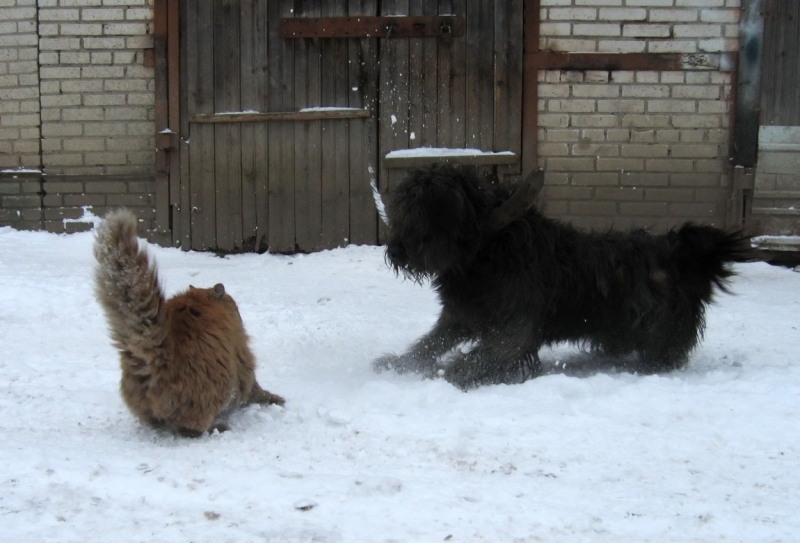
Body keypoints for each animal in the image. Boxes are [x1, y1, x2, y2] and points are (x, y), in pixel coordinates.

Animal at [372, 164, 752, 388]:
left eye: (428, 211)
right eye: (404, 206)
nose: (397, 251)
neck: (486, 252)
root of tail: (680, 251)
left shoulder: (515, 327)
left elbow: (484, 355)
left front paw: (455, 373)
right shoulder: (461, 315)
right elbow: (430, 343)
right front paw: (401, 363)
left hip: (655, 327)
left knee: (661, 354)